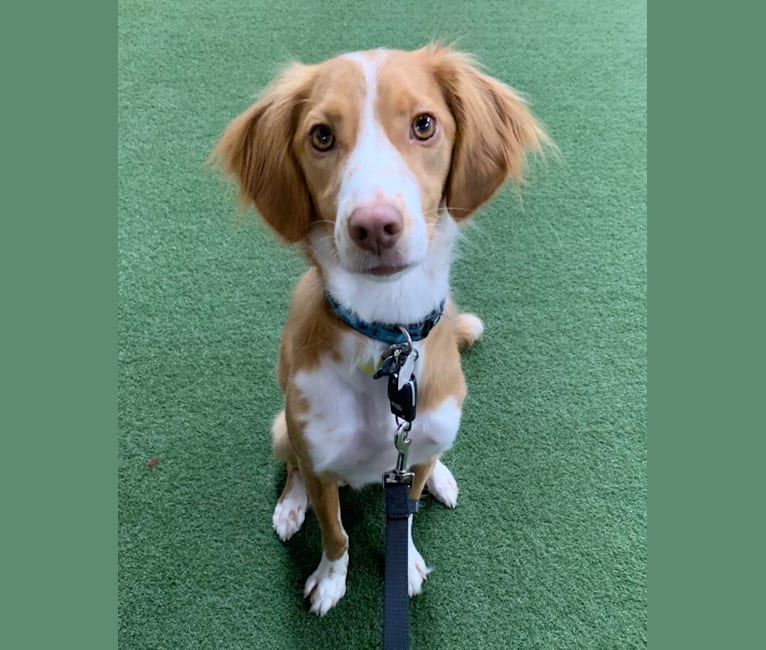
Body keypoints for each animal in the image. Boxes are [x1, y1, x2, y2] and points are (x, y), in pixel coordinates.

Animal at [214, 44, 552, 612]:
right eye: (321, 136)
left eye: (424, 124)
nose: (373, 226)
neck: (387, 338)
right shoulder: (321, 463)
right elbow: (335, 532)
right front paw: (330, 579)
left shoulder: (409, 461)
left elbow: (406, 516)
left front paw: (405, 561)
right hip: (284, 430)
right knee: (292, 467)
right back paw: (290, 506)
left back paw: (443, 477)